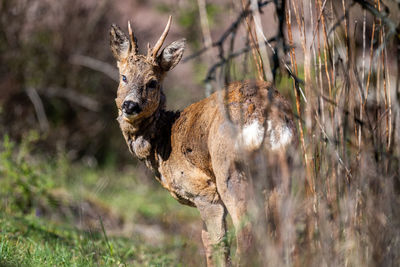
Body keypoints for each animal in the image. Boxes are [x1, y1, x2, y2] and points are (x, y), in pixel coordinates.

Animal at [109, 16, 296, 266]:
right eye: (124, 77)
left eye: (152, 82)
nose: (130, 105)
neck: (163, 140)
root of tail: (268, 115)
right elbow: (207, 241)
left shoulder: (204, 191)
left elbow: (216, 244)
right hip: (283, 168)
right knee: (284, 234)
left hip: (230, 170)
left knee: (247, 235)